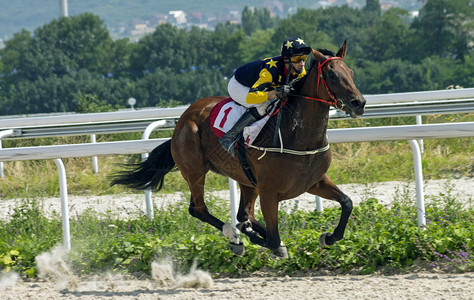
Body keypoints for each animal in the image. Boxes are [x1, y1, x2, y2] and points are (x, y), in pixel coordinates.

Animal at [111, 41, 366, 258]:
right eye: (332, 75)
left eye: (351, 72)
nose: (359, 103)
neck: (299, 137)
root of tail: (182, 120)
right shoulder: (269, 191)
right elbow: (273, 238)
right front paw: (255, 237)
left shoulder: (313, 182)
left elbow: (347, 203)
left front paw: (328, 237)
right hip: (195, 171)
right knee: (199, 209)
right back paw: (234, 238)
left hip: (245, 178)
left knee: (242, 213)